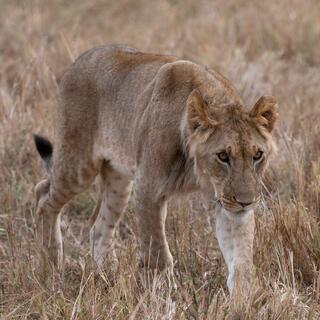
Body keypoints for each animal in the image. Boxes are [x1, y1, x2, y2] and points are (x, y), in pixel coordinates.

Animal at [34, 43, 278, 306]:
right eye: (223, 156)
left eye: (257, 155)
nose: (246, 202)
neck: (198, 171)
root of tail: (80, 59)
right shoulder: (148, 188)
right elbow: (158, 252)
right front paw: (164, 298)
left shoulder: (226, 203)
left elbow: (241, 258)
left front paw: (243, 303)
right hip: (78, 165)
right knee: (43, 196)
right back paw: (52, 267)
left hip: (119, 179)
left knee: (99, 226)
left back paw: (106, 276)